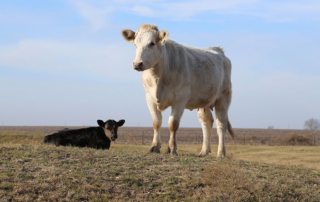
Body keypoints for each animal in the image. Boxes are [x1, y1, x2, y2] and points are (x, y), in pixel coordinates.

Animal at [121, 23, 234, 156]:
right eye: (135, 44)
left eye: (152, 43)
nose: (137, 64)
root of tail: (219, 50)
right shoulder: (149, 97)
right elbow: (156, 122)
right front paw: (155, 147)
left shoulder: (180, 98)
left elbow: (173, 124)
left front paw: (171, 148)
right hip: (203, 102)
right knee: (206, 122)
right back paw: (204, 151)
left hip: (224, 97)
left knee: (221, 124)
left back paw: (221, 152)